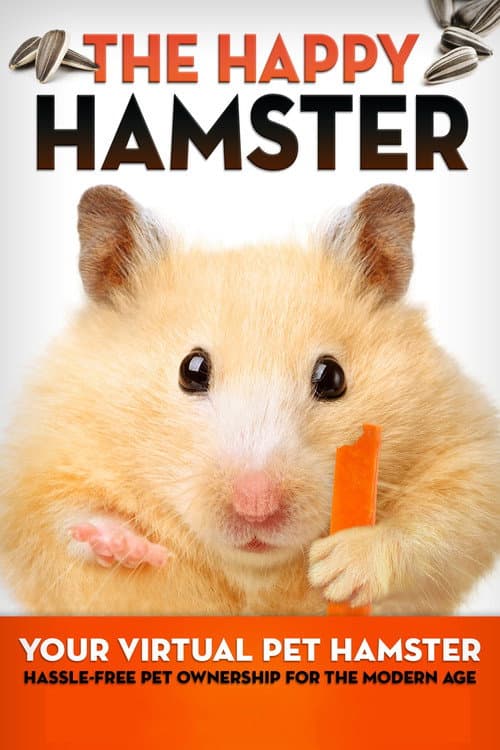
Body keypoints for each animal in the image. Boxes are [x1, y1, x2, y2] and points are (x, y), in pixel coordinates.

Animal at [1, 183, 499, 615]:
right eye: (191, 370)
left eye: (331, 376)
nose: (257, 507)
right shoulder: (35, 465)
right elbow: (60, 516)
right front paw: (127, 545)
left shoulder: (469, 450)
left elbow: (440, 519)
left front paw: (336, 570)